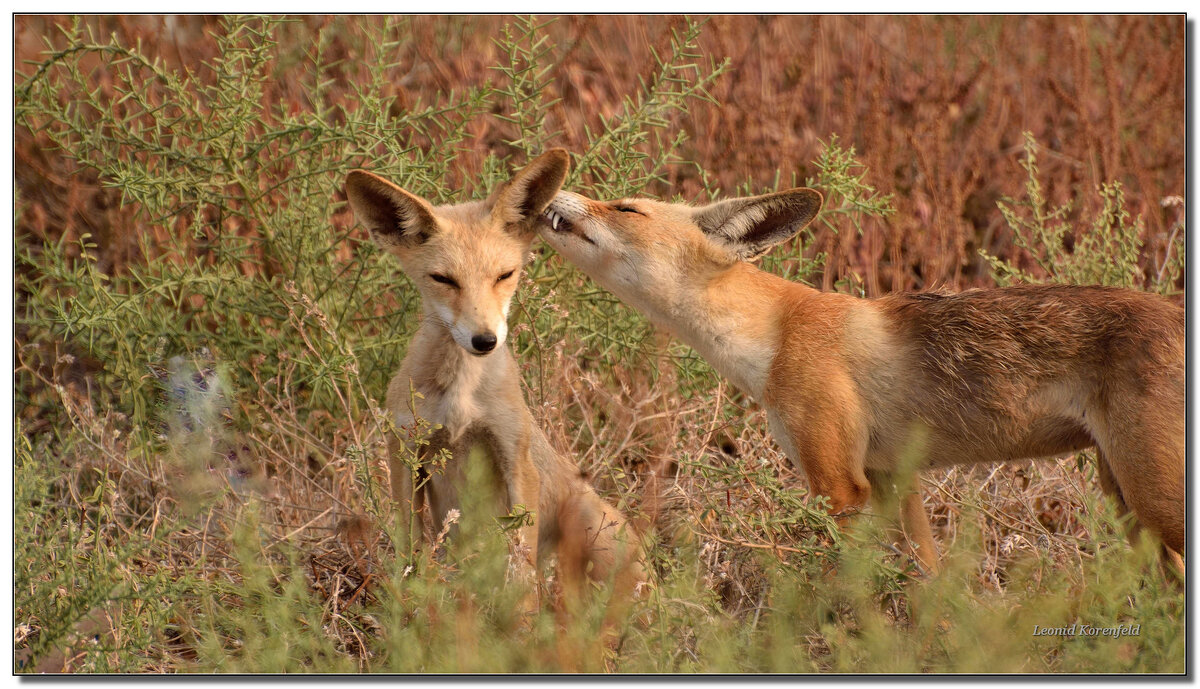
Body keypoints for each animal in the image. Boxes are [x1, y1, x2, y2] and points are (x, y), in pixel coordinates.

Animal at [348, 150, 648, 609]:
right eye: (444, 280)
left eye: (504, 275)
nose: (484, 340)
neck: (459, 400)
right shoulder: (406, 452)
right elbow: (409, 548)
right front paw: (408, 605)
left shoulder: (515, 458)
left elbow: (521, 570)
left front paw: (521, 623)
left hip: (593, 530)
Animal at [540, 186, 1185, 576]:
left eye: (626, 209)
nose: (554, 189)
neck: (774, 336)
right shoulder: (894, 479)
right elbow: (930, 585)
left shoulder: (840, 485)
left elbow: (851, 587)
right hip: (1128, 504)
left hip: (1153, 500)